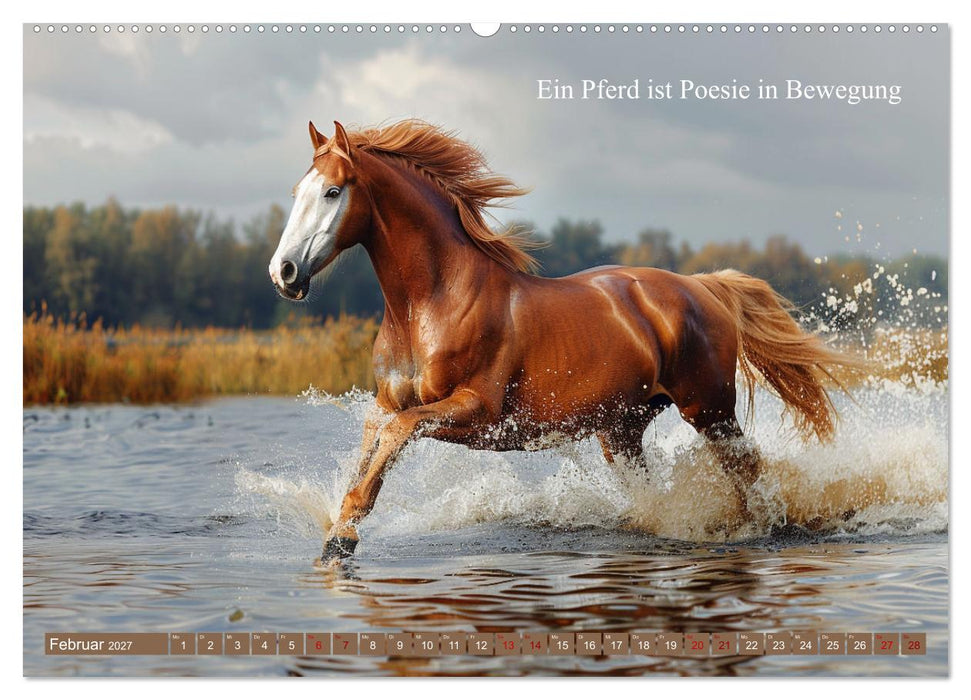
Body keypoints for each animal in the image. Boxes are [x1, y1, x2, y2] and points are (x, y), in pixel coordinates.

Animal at [268, 119, 862, 563]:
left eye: (332, 191)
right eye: (296, 192)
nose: (284, 272)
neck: (429, 305)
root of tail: (702, 285)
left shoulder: (475, 410)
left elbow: (395, 437)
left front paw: (344, 537)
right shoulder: (387, 401)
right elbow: (372, 446)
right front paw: (339, 531)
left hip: (709, 409)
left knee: (748, 469)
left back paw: (760, 526)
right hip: (621, 429)